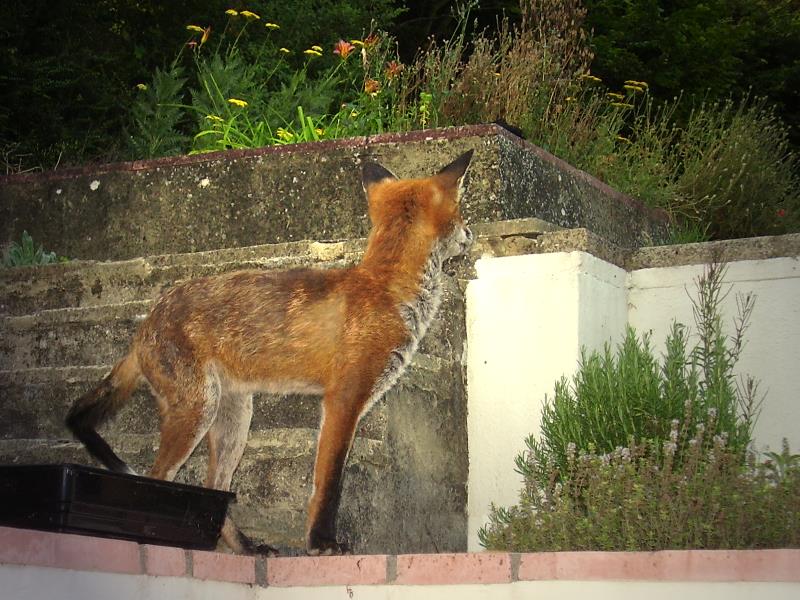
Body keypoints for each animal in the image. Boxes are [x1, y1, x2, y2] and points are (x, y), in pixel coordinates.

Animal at [65, 150, 474, 556]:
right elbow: (329, 483)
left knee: (215, 486)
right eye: (461, 212)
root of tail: (144, 325)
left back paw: (244, 548)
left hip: (234, 422)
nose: (471, 234)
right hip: (198, 411)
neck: (386, 287)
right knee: (158, 476)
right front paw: (321, 543)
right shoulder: (343, 400)